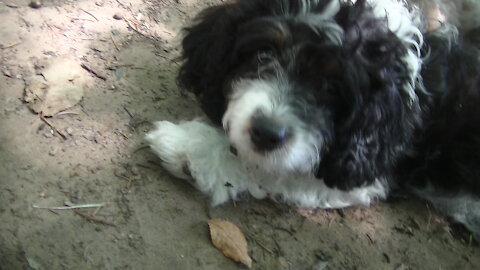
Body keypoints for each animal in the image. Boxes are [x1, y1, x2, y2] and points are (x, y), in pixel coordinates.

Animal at [146, 0, 480, 236]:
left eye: (332, 87)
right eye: (264, 54)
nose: (266, 132)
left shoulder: (361, 169)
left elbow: (277, 167)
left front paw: (189, 148)